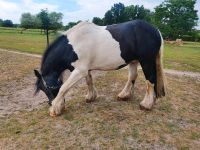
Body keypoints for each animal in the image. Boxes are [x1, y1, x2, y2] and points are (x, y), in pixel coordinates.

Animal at [34, 19, 166, 116]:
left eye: (47, 88)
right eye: (42, 89)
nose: (50, 103)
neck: (72, 45)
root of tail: (156, 30)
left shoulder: (79, 71)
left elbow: (64, 88)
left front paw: (55, 109)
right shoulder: (85, 69)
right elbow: (89, 81)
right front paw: (90, 97)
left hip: (146, 61)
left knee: (150, 79)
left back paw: (146, 104)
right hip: (133, 61)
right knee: (132, 76)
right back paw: (124, 95)